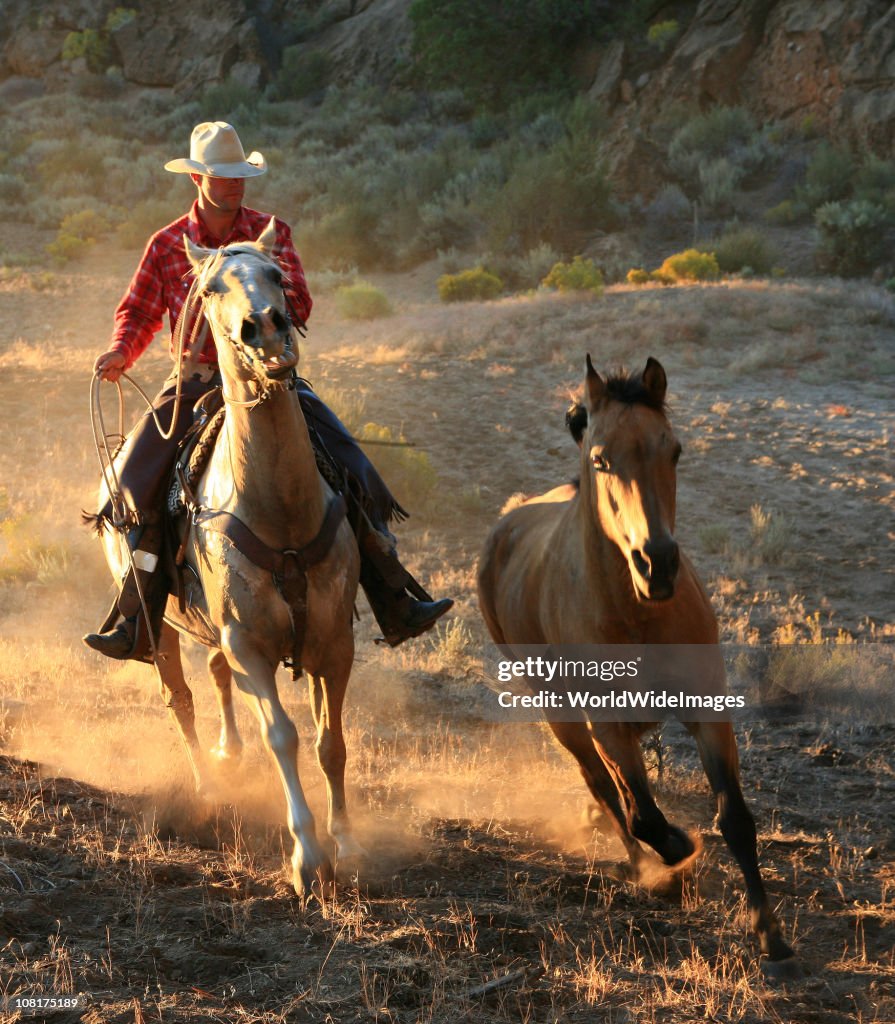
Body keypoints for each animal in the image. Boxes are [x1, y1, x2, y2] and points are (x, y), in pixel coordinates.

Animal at [99, 220, 358, 892]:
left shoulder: (333, 641)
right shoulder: (250, 643)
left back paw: (228, 753)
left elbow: (331, 742)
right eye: (211, 288)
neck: (278, 506)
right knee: (181, 700)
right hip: (157, 621)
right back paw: (209, 787)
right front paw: (307, 856)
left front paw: (347, 844)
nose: (265, 327)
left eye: (277, 274)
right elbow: (283, 736)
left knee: (215, 677)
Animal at [477, 358, 790, 966]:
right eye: (601, 459)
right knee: (606, 788)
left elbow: (735, 818)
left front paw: (770, 931)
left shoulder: (708, 709)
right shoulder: (605, 723)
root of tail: (507, 522)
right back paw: (653, 870)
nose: (658, 562)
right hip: (561, 714)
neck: (636, 611)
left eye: (675, 450)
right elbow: (642, 813)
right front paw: (680, 855)